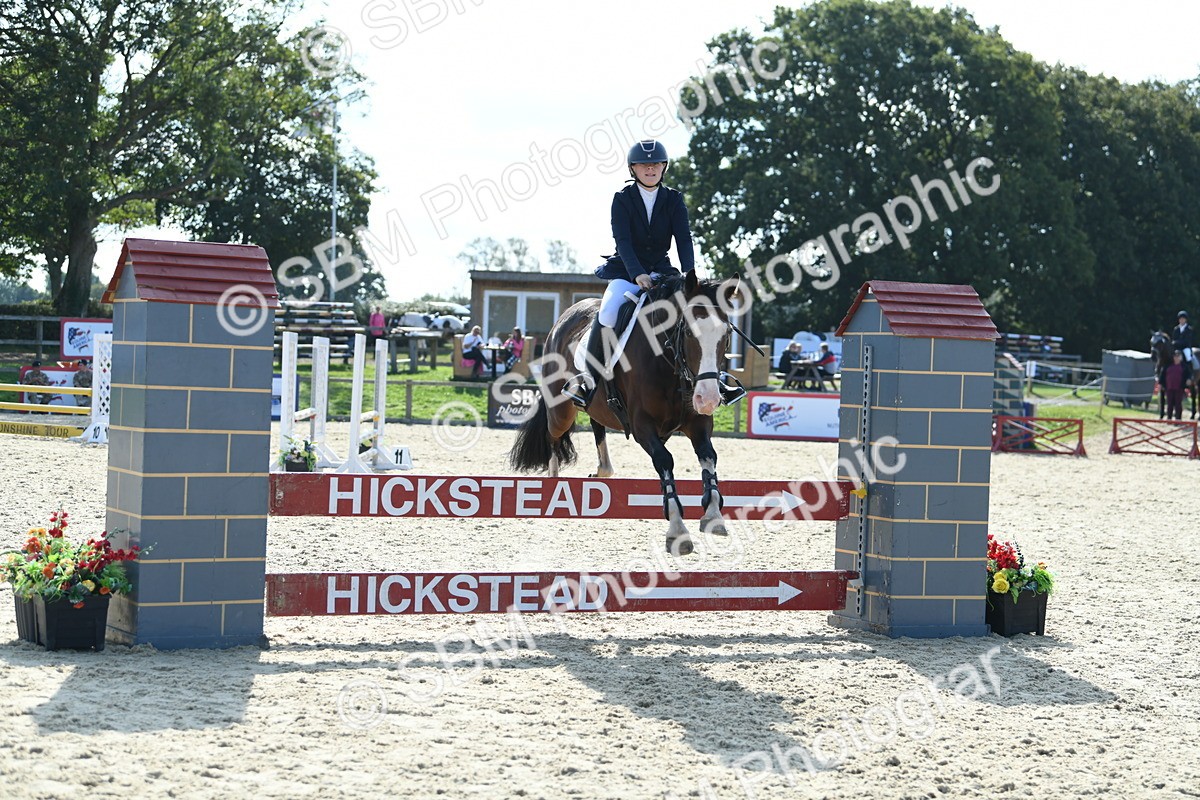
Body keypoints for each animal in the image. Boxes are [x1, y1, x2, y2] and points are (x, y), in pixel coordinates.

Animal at [508, 272, 743, 555]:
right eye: (688, 332)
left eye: (726, 334)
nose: (708, 399)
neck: (668, 362)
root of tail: (563, 320)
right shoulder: (642, 425)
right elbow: (665, 461)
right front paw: (677, 529)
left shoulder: (697, 422)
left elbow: (709, 456)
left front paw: (713, 515)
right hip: (560, 412)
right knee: (552, 436)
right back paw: (552, 489)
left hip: (596, 406)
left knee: (597, 427)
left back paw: (601, 471)